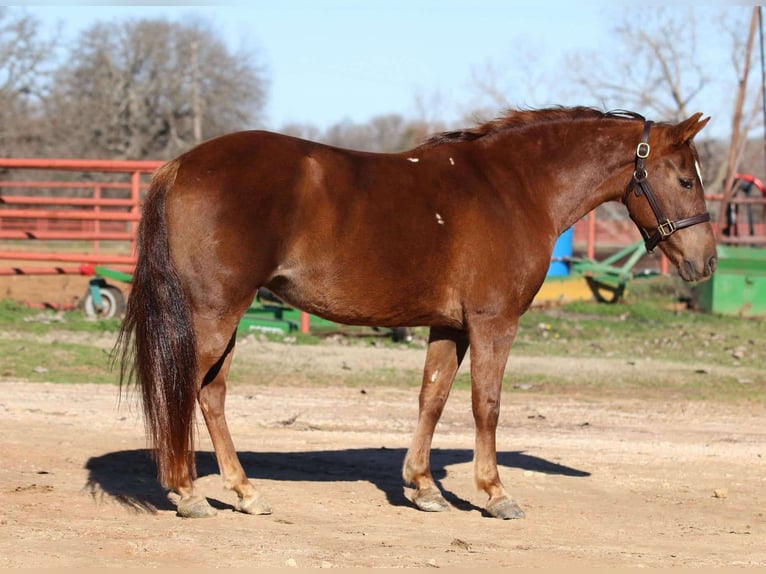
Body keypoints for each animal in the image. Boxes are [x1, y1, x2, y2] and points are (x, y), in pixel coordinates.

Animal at [117, 106, 716, 520]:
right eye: (685, 179)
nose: (707, 262)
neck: (513, 189)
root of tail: (179, 166)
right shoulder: (493, 322)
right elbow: (486, 405)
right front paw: (494, 493)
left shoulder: (450, 326)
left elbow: (433, 398)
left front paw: (424, 488)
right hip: (215, 314)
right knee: (186, 388)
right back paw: (187, 492)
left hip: (222, 317)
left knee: (211, 394)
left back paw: (243, 491)